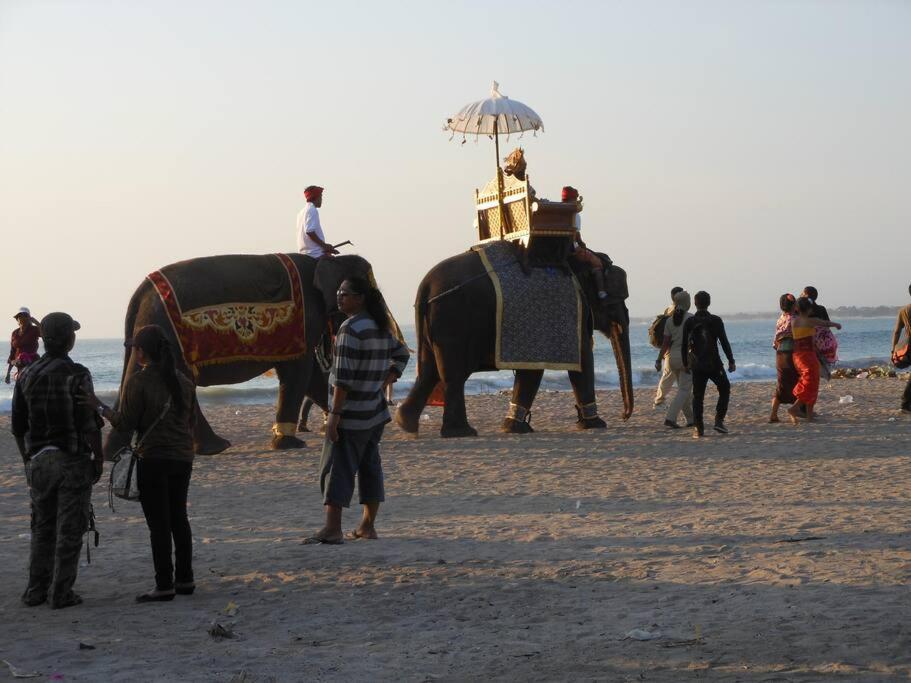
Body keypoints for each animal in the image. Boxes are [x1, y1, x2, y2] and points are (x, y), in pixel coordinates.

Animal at [392, 246, 636, 438]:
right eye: (615, 300)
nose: (624, 416)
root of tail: (425, 288)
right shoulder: (566, 310)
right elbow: (580, 361)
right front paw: (596, 424)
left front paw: (514, 428)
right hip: (453, 321)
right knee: (453, 375)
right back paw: (461, 432)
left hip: (436, 326)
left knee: (429, 372)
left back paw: (406, 424)